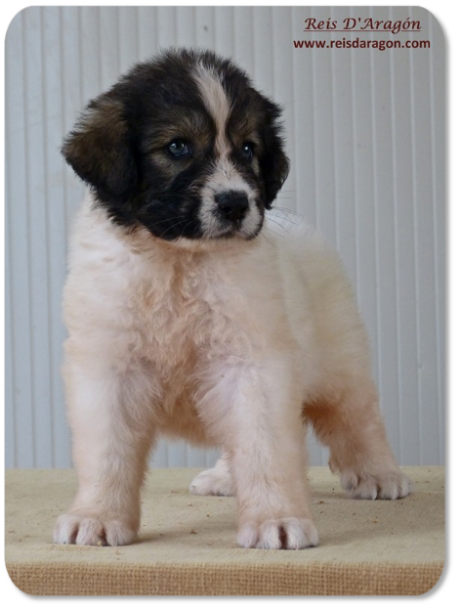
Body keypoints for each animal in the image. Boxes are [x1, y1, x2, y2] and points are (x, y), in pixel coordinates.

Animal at [53, 50, 410, 552]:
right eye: (178, 147)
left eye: (247, 150)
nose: (236, 203)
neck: (179, 262)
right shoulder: (109, 367)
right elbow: (108, 451)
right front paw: (97, 516)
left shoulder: (254, 364)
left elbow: (264, 446)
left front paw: (275, 519)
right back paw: (224, 477)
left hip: (342, 360)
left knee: (356, 416)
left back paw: (379, 473)